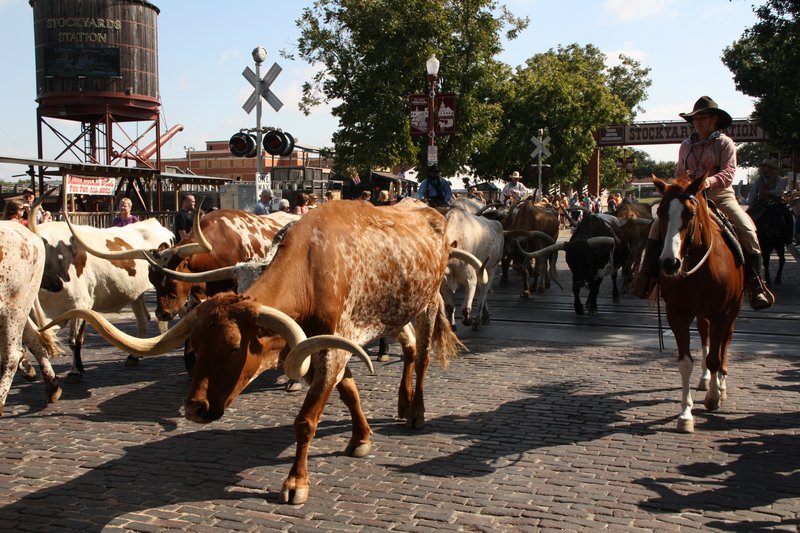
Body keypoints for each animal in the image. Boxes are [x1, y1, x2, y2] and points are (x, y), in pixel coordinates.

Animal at [43, 200, 468, 502]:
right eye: (194, 348)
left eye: (234, 349)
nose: (193, 409)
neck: (315, 267)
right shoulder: (330, 346)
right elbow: (348, 392)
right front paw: (360, 438)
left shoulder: (334, 347)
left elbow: (306, 420)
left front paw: (296, 482)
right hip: (395, 312)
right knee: (409, 349)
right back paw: (402, 401)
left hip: (427, 304)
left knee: (423, 355)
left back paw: (416, 411)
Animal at [656, 175, 744, 432]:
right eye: (660, 212)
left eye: (690, 213)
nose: (669, 263)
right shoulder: (678, 314)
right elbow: (686, 362)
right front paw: (685, 414)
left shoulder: (722, 314)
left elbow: (716, 356)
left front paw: (714, 397)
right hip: (703, 314)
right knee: (706, 337)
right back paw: (705, 380)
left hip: (732, 311)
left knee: (723, 344)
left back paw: (720, 385)